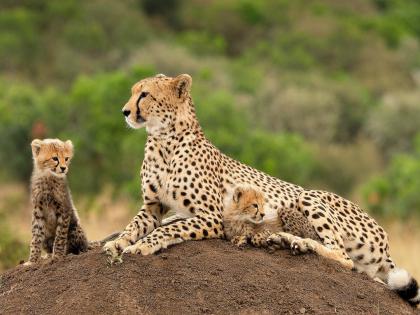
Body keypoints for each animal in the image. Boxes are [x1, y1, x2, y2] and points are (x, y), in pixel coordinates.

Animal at [103, 73, 418, 306]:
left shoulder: (211, 217)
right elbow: (134, 225)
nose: (125, 111)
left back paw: (296, 241)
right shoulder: (152, 207)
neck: (163, 140)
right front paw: (117, 243)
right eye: (133, 92)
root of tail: (385, 240)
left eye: (144, 94)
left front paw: (143, 244)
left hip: (310, 195)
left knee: (343, 256)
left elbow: (168, 230)